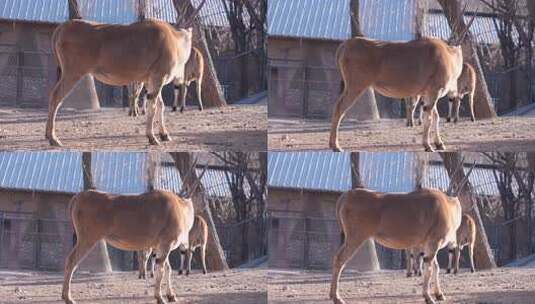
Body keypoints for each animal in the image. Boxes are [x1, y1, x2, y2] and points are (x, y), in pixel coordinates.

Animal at [45, 18, 193, 147]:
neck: (176, 38)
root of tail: (62, 27)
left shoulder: (151, 82)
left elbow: (161, 106)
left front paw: (164, 134)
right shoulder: (158, 78)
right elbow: (154, 107)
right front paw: (152, 137)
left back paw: (48, 135)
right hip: (72, 74)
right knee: (56, 97)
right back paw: (53, 138)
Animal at [61, 165, 205, 304]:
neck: (181, 205)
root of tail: (78, 197)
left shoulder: (161, 247)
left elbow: (168, 269)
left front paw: (171, 296)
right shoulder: (166, 245)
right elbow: (161, 270)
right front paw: (160, 298)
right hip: (87, 239)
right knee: (71, 261)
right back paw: (68, 298)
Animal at [330, 12, 478, 152]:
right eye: (469, 40)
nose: (475, 55)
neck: (449, 53)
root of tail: (345, 45)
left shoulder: (428, 94)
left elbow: (435, 117)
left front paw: (439, 144)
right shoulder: (434, 92)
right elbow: (429, 118)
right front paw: (428, 146)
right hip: (356, 87)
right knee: (339, 108)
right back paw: (336, 146)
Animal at [330, 172, 478, 302]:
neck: (448, 203)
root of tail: (346, 196)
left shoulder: (428, 246)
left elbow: (436, 267)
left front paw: (439, 294)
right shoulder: (434, 243)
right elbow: (430, 268)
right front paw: (428, 297)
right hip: (355, 238)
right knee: (339, 259)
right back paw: (337, 297)